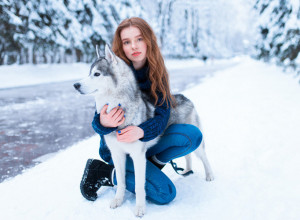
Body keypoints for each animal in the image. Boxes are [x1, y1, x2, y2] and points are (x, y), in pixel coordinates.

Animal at [73, 44, 213, 217]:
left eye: (97, 74)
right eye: (89, 73)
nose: (75, 85)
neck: (119, 106)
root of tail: (184, 97)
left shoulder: (138, 157)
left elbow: (139, 186)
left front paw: (140, 208)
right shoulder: (117, 154)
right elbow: (120, 181)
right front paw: (118, 200)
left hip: (197, 139)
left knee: (203, 156)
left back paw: (209, 175)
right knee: (188, 156)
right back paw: (187, 170)